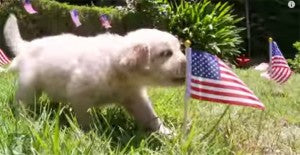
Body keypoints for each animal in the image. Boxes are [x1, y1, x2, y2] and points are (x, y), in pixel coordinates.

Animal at [3, 14, 185, 134]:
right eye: (166, 53)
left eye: (178, 49)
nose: (186, 63)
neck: (116, 67)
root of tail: (27, 45)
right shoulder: (80, 94)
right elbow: (85, 119)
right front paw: (91, 134)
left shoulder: (135, 97)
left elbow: (150, 116)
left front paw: (166, 132)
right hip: (29, 85)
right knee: (22, 102)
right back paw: (25, 119)